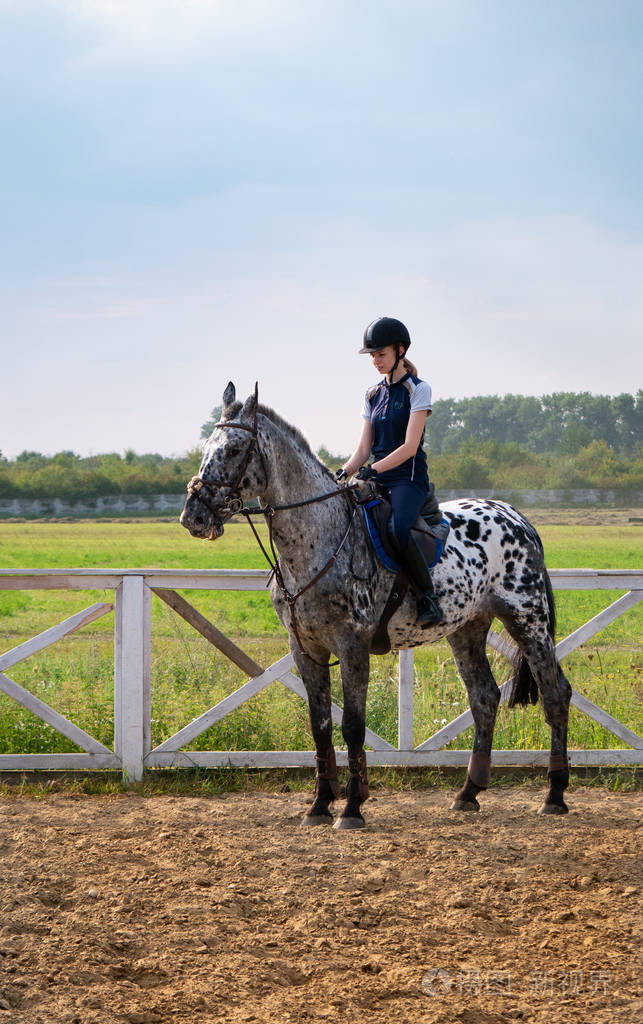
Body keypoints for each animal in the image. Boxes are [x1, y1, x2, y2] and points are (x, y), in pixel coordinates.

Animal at [180, 383, 572, 828]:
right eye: (205, 447)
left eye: (233, 449)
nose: (193, 517)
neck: (320, 539)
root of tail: (517, 517)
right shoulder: (305, 649)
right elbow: (320, 726)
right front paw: (319, 805)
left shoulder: (353, 647)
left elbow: (352, 726)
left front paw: (351, 807)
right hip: (467, 628)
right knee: (484, 697)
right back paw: (469, 792)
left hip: (527, 620)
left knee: (555, 693)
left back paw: (555, 794)